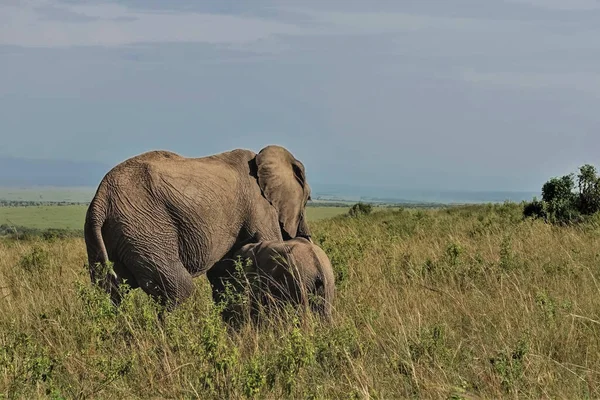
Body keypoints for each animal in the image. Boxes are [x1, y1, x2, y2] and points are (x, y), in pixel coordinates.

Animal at [84, 145, 312, 308]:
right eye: (308, 199)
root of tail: (101, 198)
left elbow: (224, 273)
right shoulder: (259, 206)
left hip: (105, 232)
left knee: (110, 292)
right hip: (144, 227)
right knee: (178, 289)